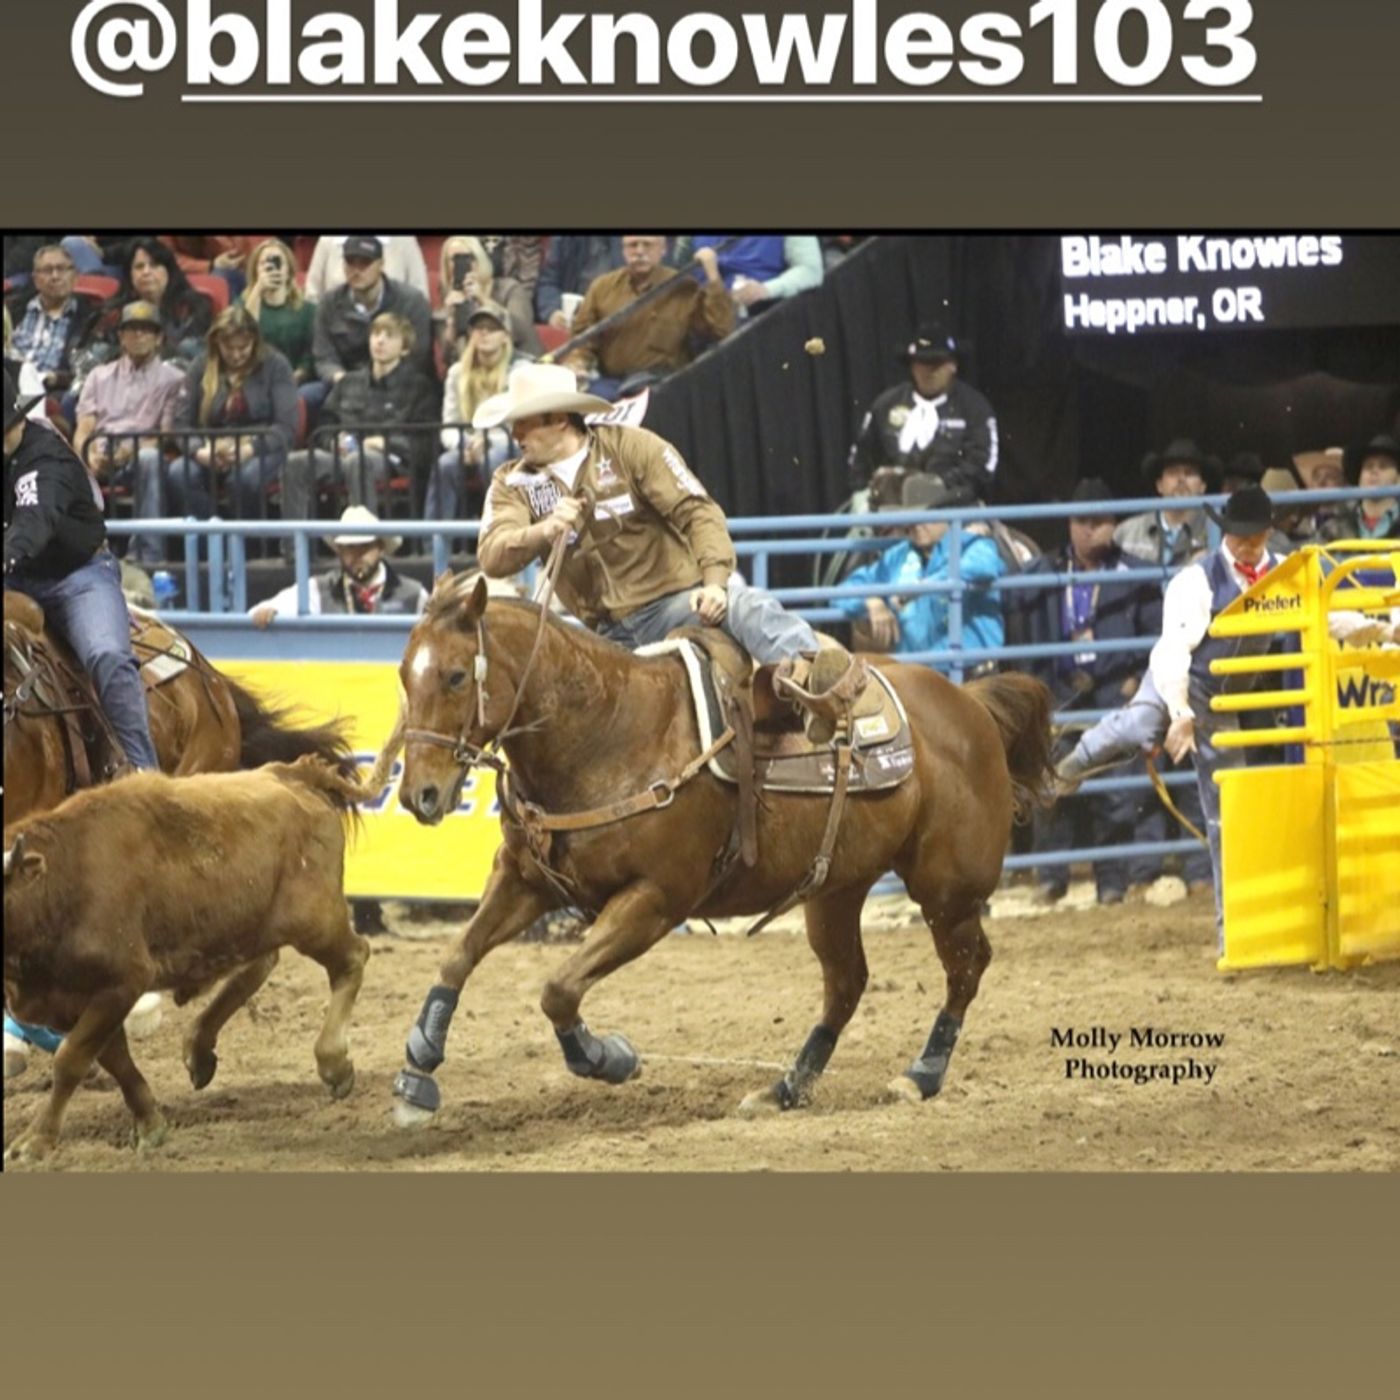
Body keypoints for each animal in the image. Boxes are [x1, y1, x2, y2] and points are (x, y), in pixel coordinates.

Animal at [383, 574, 1052, 1131]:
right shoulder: (525, 879)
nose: (419, 793)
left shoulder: (656, 901)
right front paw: (417, 1074)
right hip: (835, 890)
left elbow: (559, 989)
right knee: (846, 982)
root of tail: (970, 703)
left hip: (947, 889)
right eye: (403, 676)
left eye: (455, 676)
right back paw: (784, 1090)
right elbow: (457, 957)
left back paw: (921, 1075)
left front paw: (610, 1057)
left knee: (965, 968)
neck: (607, 731)